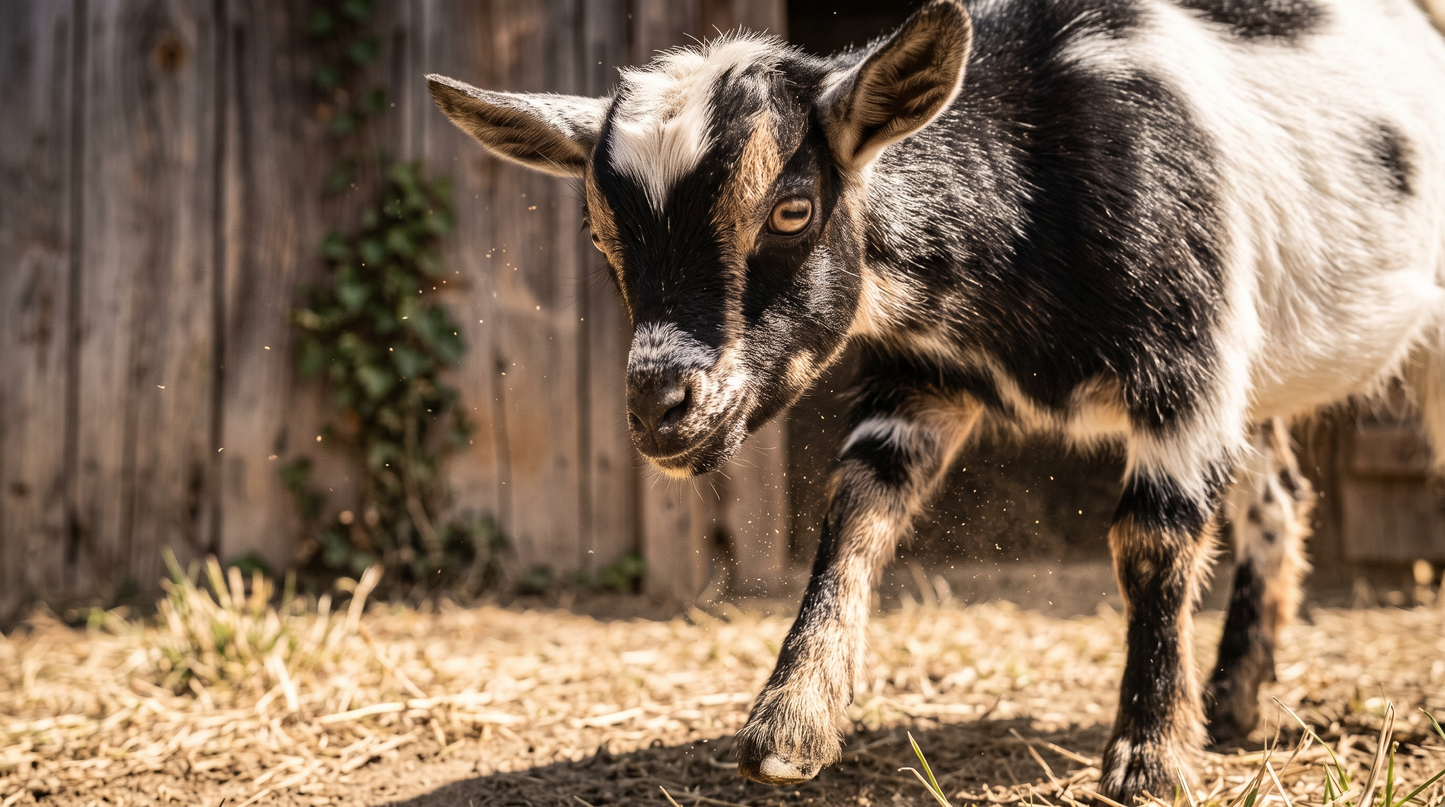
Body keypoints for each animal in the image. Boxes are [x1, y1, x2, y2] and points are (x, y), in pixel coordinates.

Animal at [427, 0, 1445, 799]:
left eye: (791, 209)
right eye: (602, 237)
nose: (658, 404)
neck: (1025, 191)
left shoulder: (1185, 358)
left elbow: (1153, 537)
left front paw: (1148, 758)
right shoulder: (925, 377)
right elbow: (855, 512)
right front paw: (790, 725)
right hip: (1256, 367)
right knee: (1277, 499)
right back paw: (1232, 701)